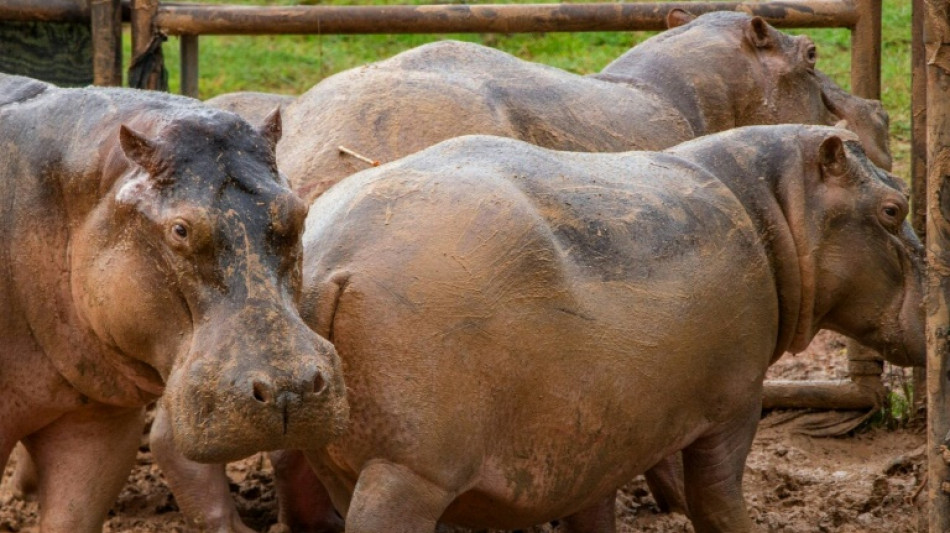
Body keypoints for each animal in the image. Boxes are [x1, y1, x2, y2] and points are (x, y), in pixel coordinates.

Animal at [294, 125, 924, 532]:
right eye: (894, 208)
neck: (775, 205)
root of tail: (332, 262)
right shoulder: (736, 401)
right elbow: (715, 497)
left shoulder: (595, 433)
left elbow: (597, 510)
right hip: (408, 473)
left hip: (345, 464)